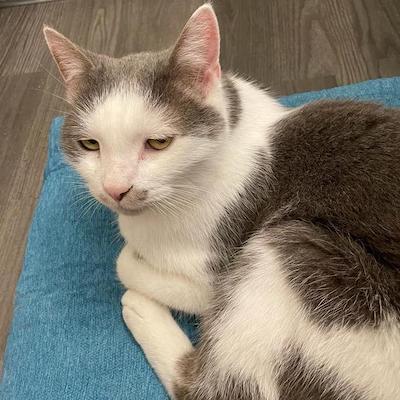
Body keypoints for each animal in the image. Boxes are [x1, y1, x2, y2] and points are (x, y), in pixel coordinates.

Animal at [42, 3, 398, 400]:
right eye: (90, 144)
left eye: (159, 143)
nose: (115, 188)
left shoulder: (212, 275)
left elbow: (126, 264)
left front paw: (133, 263)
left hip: (297, 253)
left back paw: (141, 309)